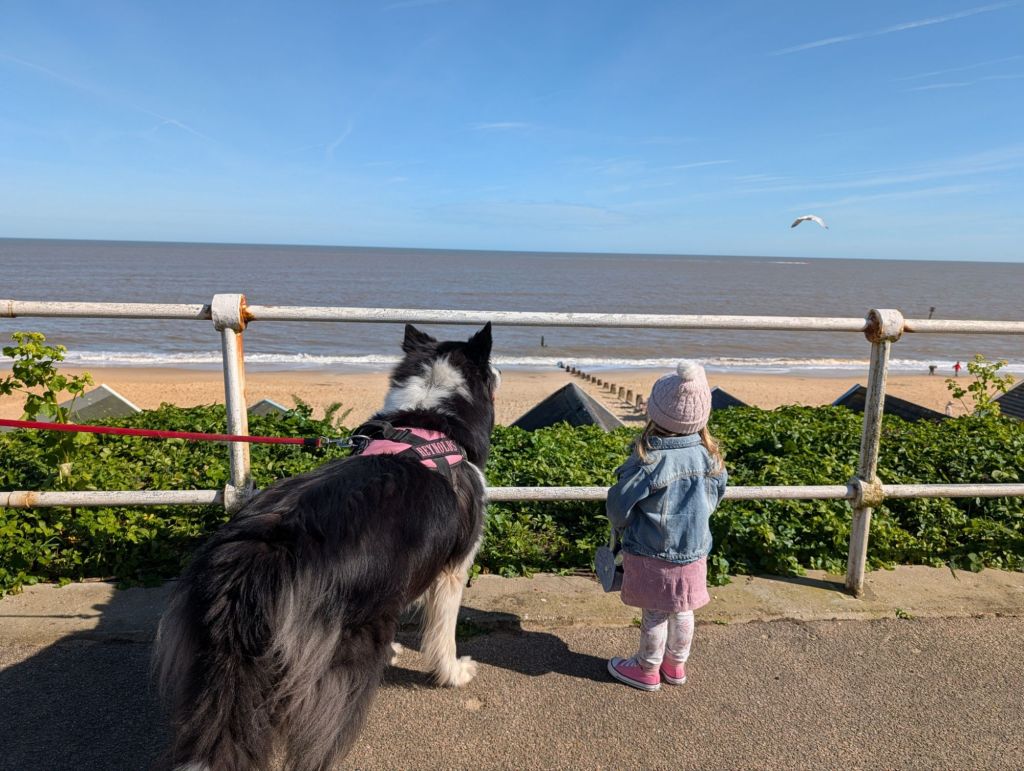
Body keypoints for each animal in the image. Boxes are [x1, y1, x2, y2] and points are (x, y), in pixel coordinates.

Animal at [155, 322, 498, 771]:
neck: (431, 422)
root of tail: (254, 562)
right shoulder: (453, 570)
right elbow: (443, 635)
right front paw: (454, 674)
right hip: (341, 657)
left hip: (209, 662)